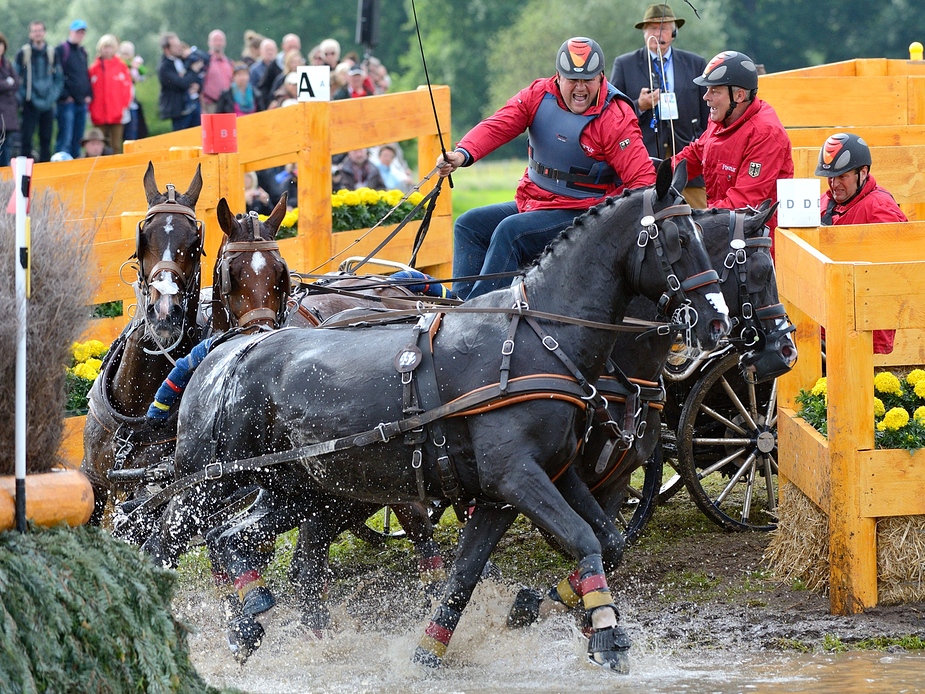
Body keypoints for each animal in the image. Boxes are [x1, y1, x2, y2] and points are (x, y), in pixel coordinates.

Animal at [143, 160, 728, 672]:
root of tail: (229, 349)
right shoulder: (516, 477)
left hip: (306, 492)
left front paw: (447, 643)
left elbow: (540, 556)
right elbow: (583, 540)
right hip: (212, 483)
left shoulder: (523, 485)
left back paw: (253, 621)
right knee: (167, 540)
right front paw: (606, 632)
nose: (718, 323)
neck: (538, 340)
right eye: (679, 241)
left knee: (237, 543)